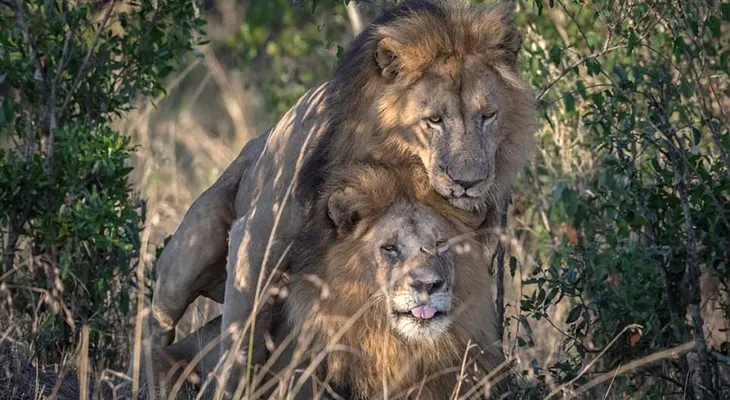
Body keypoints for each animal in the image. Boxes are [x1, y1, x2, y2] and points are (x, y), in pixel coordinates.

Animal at [131, 0, 535, 393]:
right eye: (433, 120)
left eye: (488, 115)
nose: (469, 182)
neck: (397, 163)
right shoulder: (255, 240)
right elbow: (239, 341)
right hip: (190, 253)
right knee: (156, 329)